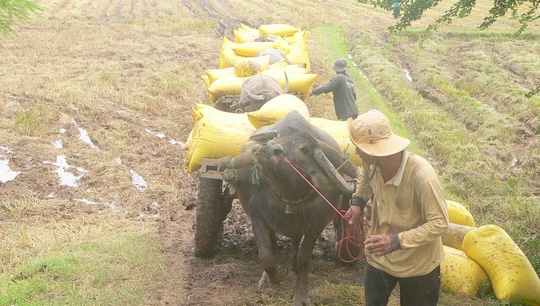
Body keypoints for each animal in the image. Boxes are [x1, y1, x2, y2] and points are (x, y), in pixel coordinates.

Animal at [215, 111, 358, 304]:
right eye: (277, 137)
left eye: (305, 150)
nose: (268, 148)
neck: (289, 199)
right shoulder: (258, 219)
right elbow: (266, 257)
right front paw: (275, 277)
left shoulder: (315, 227)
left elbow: (303, 260)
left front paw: (300, 295)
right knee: (276, 246)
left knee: (295, 243)